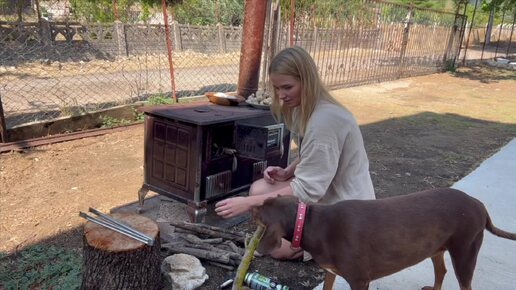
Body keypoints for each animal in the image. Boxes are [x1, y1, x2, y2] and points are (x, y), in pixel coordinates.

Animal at [253, 188, 516, 290]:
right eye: (265, 201)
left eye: (261, 210)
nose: (251, 204)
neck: (309, 223)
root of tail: (479, 204)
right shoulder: (331, 271)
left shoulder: (360, 280)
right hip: (437, 248)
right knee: (441, 271)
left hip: (465, 251)